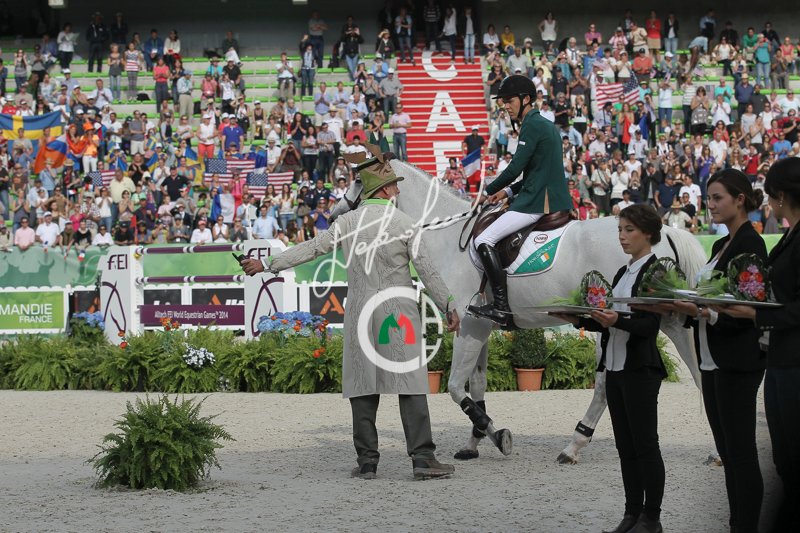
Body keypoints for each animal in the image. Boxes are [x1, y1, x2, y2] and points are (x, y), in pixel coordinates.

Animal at [330, 159, 705, 463]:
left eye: (358, 180)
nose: (334, 215)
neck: (448, 236)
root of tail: (665, 230)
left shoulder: (469, 325)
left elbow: (455, 387)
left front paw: (496, 435)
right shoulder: (481, 328)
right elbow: (477, 384)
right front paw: (473, 443)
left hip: (615, 322)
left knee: (603, 384)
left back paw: (573, 446)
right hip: (670, 321)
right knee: (697, 371)